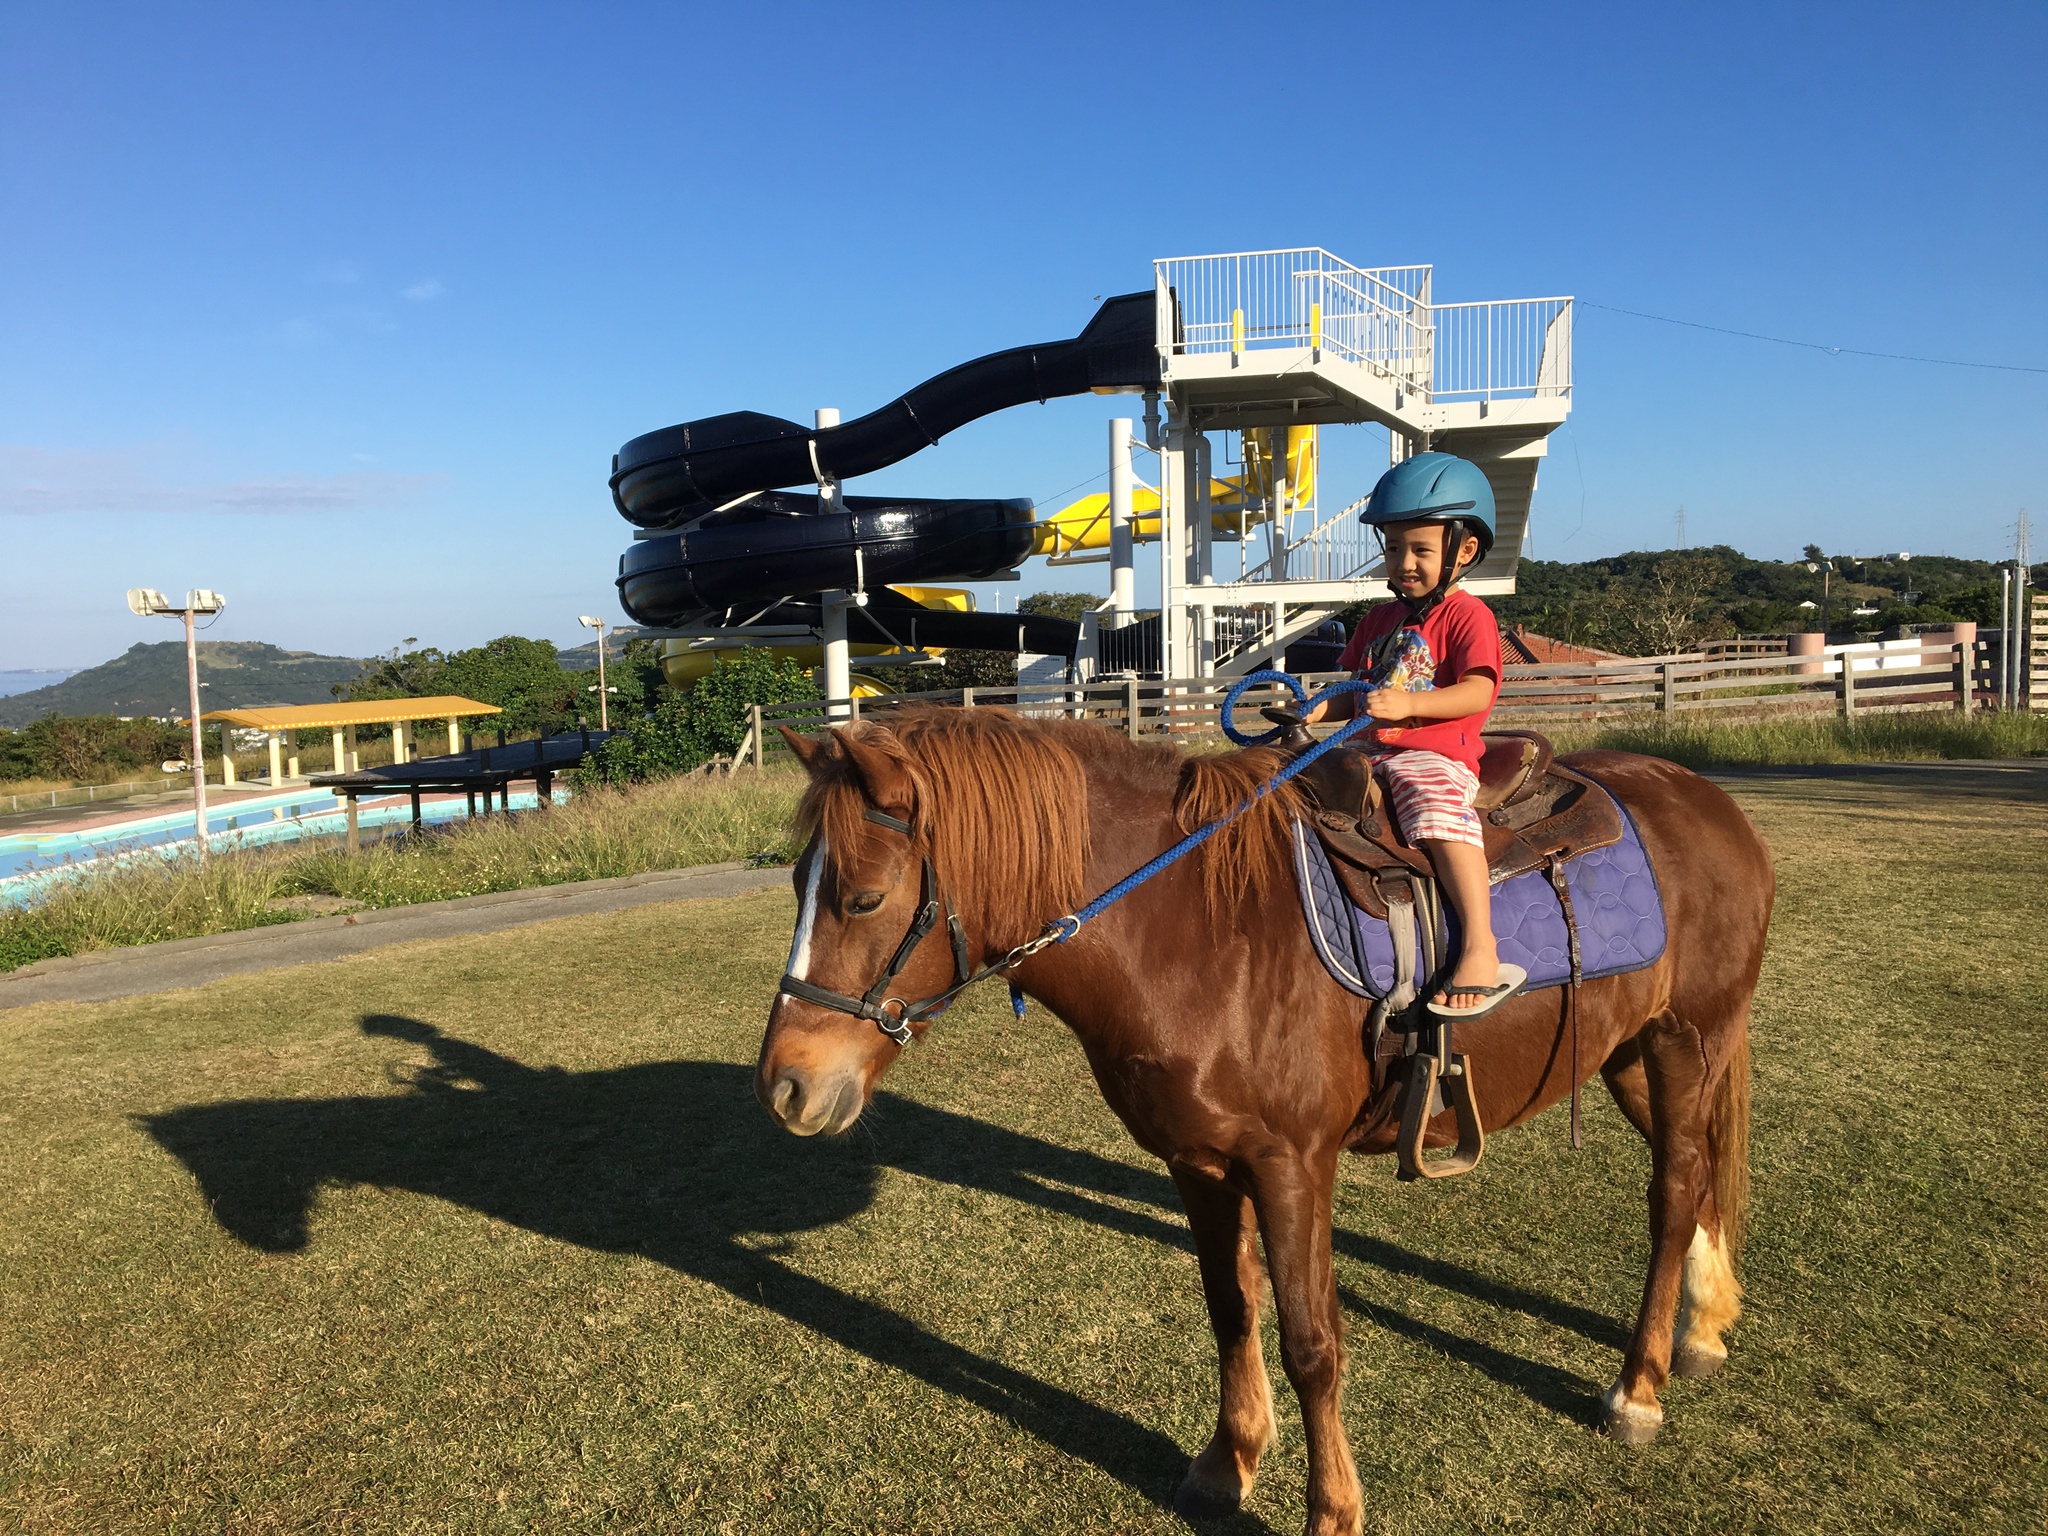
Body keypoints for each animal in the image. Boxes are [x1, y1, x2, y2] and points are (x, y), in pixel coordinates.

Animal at [761, 712, 1769, 1536]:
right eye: (801, 886)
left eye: (863, 899)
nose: (785, 1087)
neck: (1200, 932)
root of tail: (1705, 798)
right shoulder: (1199, 1162)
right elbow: (1230, 1307)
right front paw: (1228, 1462)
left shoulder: (1292, 1165)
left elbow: (1312, 1343)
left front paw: (1333, 1511)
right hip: (1631, 1056)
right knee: (1698, 1179)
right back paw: (1703, 1329)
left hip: (1687, 1043)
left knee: (1675, 1193)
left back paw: (1639, 1388)